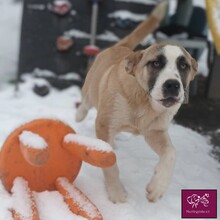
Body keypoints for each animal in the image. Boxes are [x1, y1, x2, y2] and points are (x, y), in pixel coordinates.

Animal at [75, 1, 198, 203]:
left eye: (183, 65)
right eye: (156, 63)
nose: (172, 85)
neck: (144, 101)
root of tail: (123, 47)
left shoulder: (155, 132)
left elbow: (171, 153)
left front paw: (157, 187)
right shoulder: (105, 123)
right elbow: (110, 163)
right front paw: (116, 192)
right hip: (91, 89)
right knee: (85, 102)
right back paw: (79, 115)